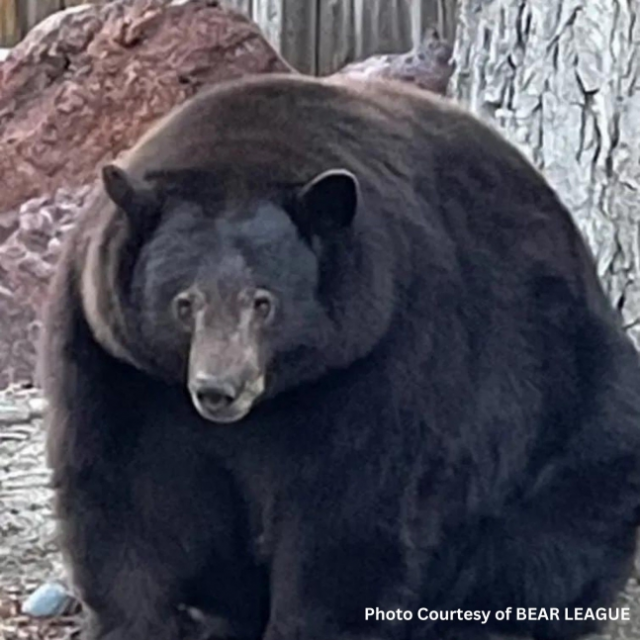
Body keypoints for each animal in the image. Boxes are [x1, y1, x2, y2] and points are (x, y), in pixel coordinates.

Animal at [41, 72, 640, 636]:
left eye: (263, 301)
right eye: (184, 302)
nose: (218, 389)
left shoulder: (384, 348)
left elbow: (349, 508)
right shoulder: (116, 362)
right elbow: (126, 492)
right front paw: (136, 621)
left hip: (565, 405)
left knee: (552, 536)